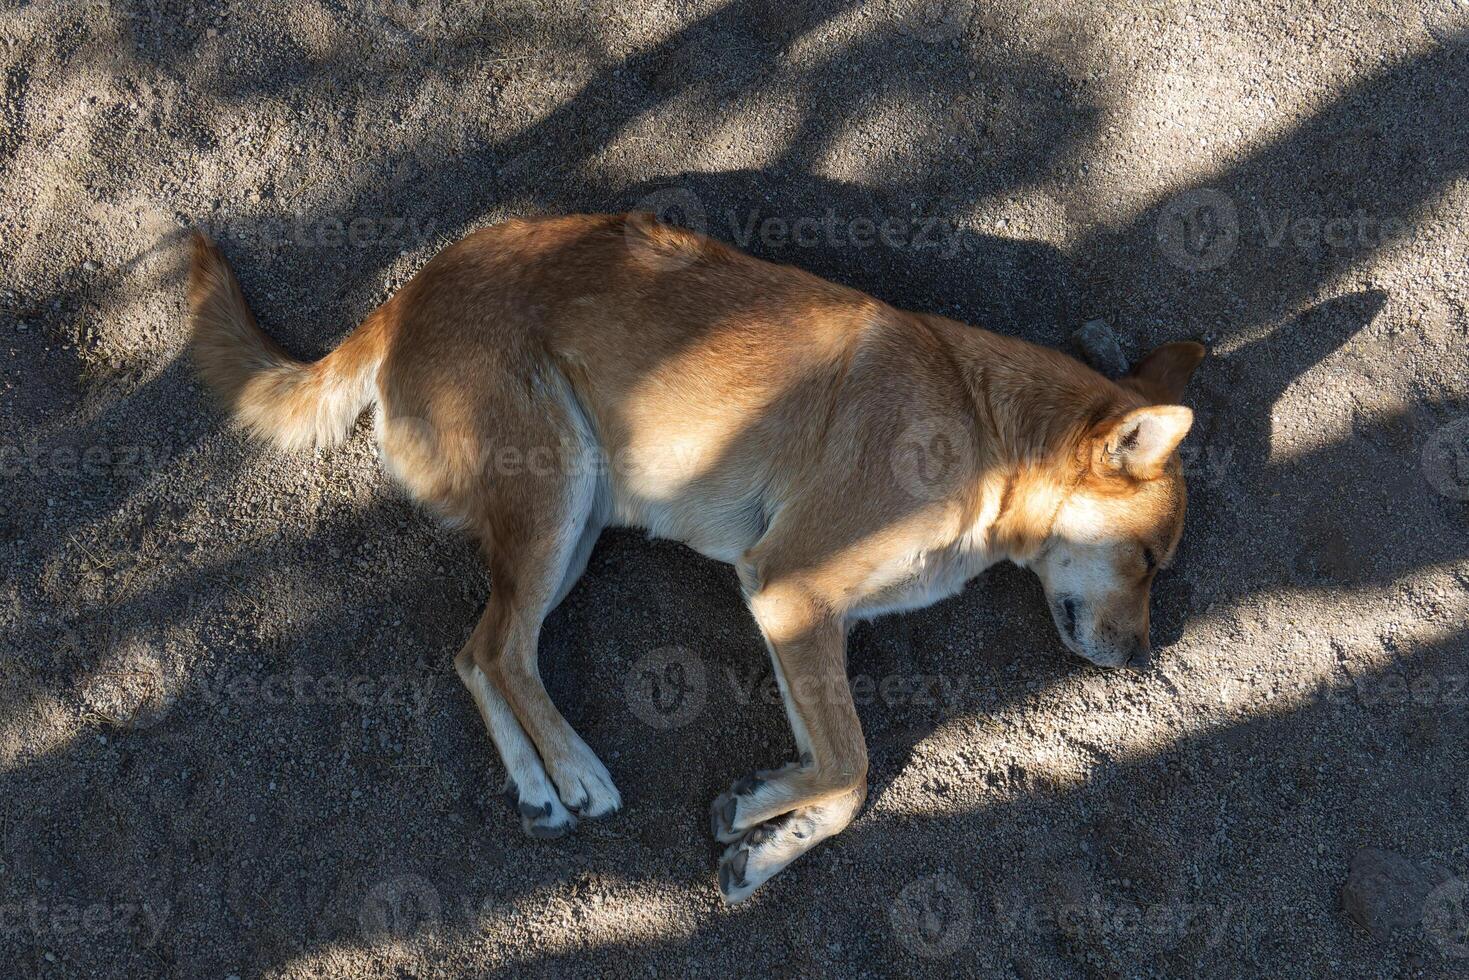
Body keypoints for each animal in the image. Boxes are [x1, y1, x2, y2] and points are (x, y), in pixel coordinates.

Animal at [189, 214, 1204, 905]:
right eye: (1149, 560)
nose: (1142, 656)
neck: (985, 426)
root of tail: (406, 297)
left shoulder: (809, 618)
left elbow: (845, 778)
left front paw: (766, 841)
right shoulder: (791, 589)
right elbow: (852, 761)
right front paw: (760, 807)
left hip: (578, 524)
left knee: (478, 652)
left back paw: (538, 785)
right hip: (558, 491)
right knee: (505, 650)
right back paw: (576, 771)